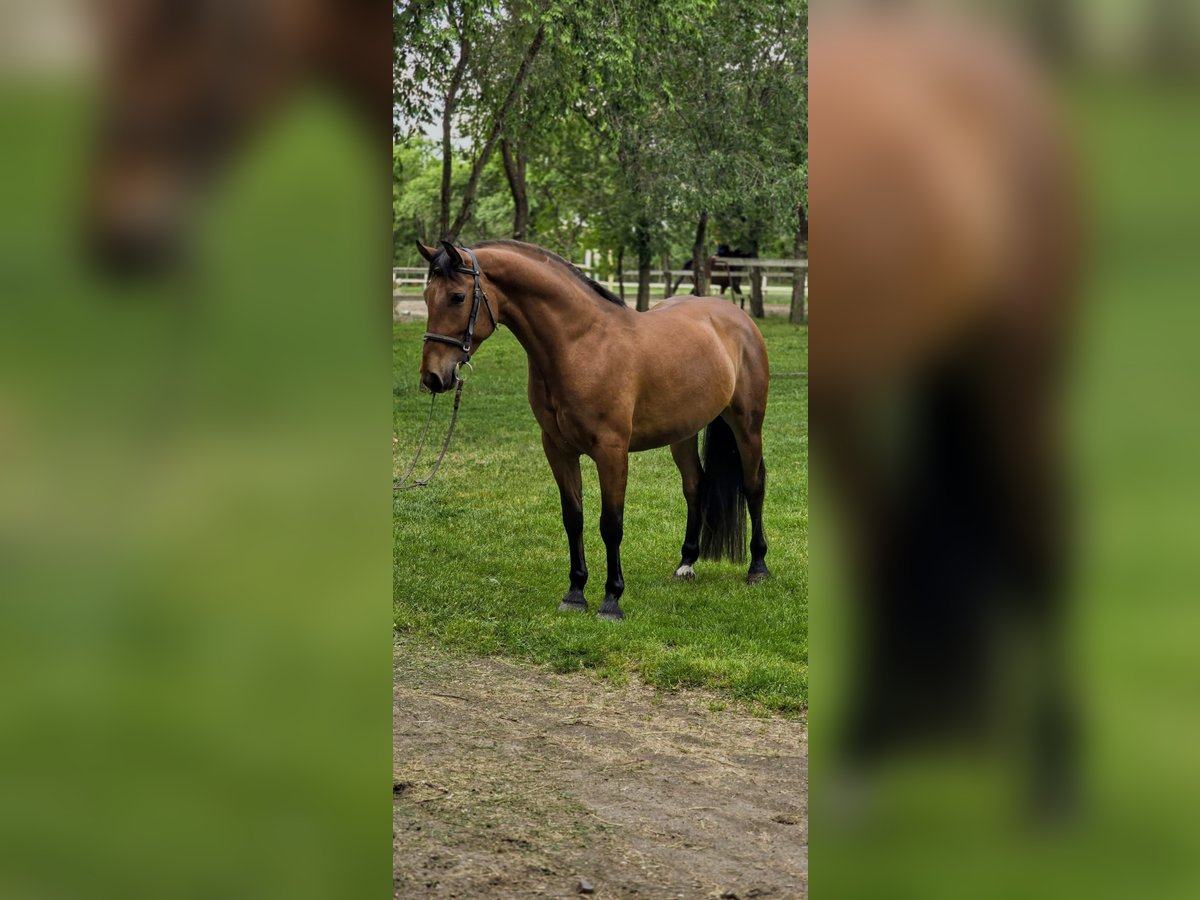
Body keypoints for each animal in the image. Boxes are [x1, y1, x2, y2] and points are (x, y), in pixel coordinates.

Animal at [415, 240, 768, 619]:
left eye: (456, 297)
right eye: (426, 296)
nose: (433, 377)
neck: (581, 345)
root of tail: (736, 317)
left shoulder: (611, 451)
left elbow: (611, 524)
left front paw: (611, 599)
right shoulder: (558, 449)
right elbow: (574, 518)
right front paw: (575, 593)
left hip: (747, 426)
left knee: (753, 486)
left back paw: (758, 567)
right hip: (683, 433)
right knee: (694, 485)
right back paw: (686, 563)